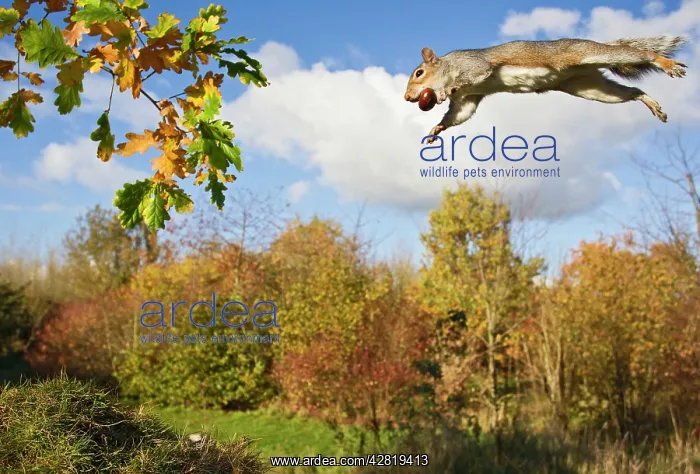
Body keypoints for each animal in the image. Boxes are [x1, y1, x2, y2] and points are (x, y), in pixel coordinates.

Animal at [404, 36, 690, 143]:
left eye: (419, 73)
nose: (407, 97)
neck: (448, 66)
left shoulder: (473, 66)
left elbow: (473, 74)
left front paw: (445, 91)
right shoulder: (468, 99)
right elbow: (460, 114)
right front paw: (436, 129)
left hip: (589, 55)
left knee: (639, 54)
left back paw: (666, 63)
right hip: (591, 87)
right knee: (631, 92)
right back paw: (652, 104)